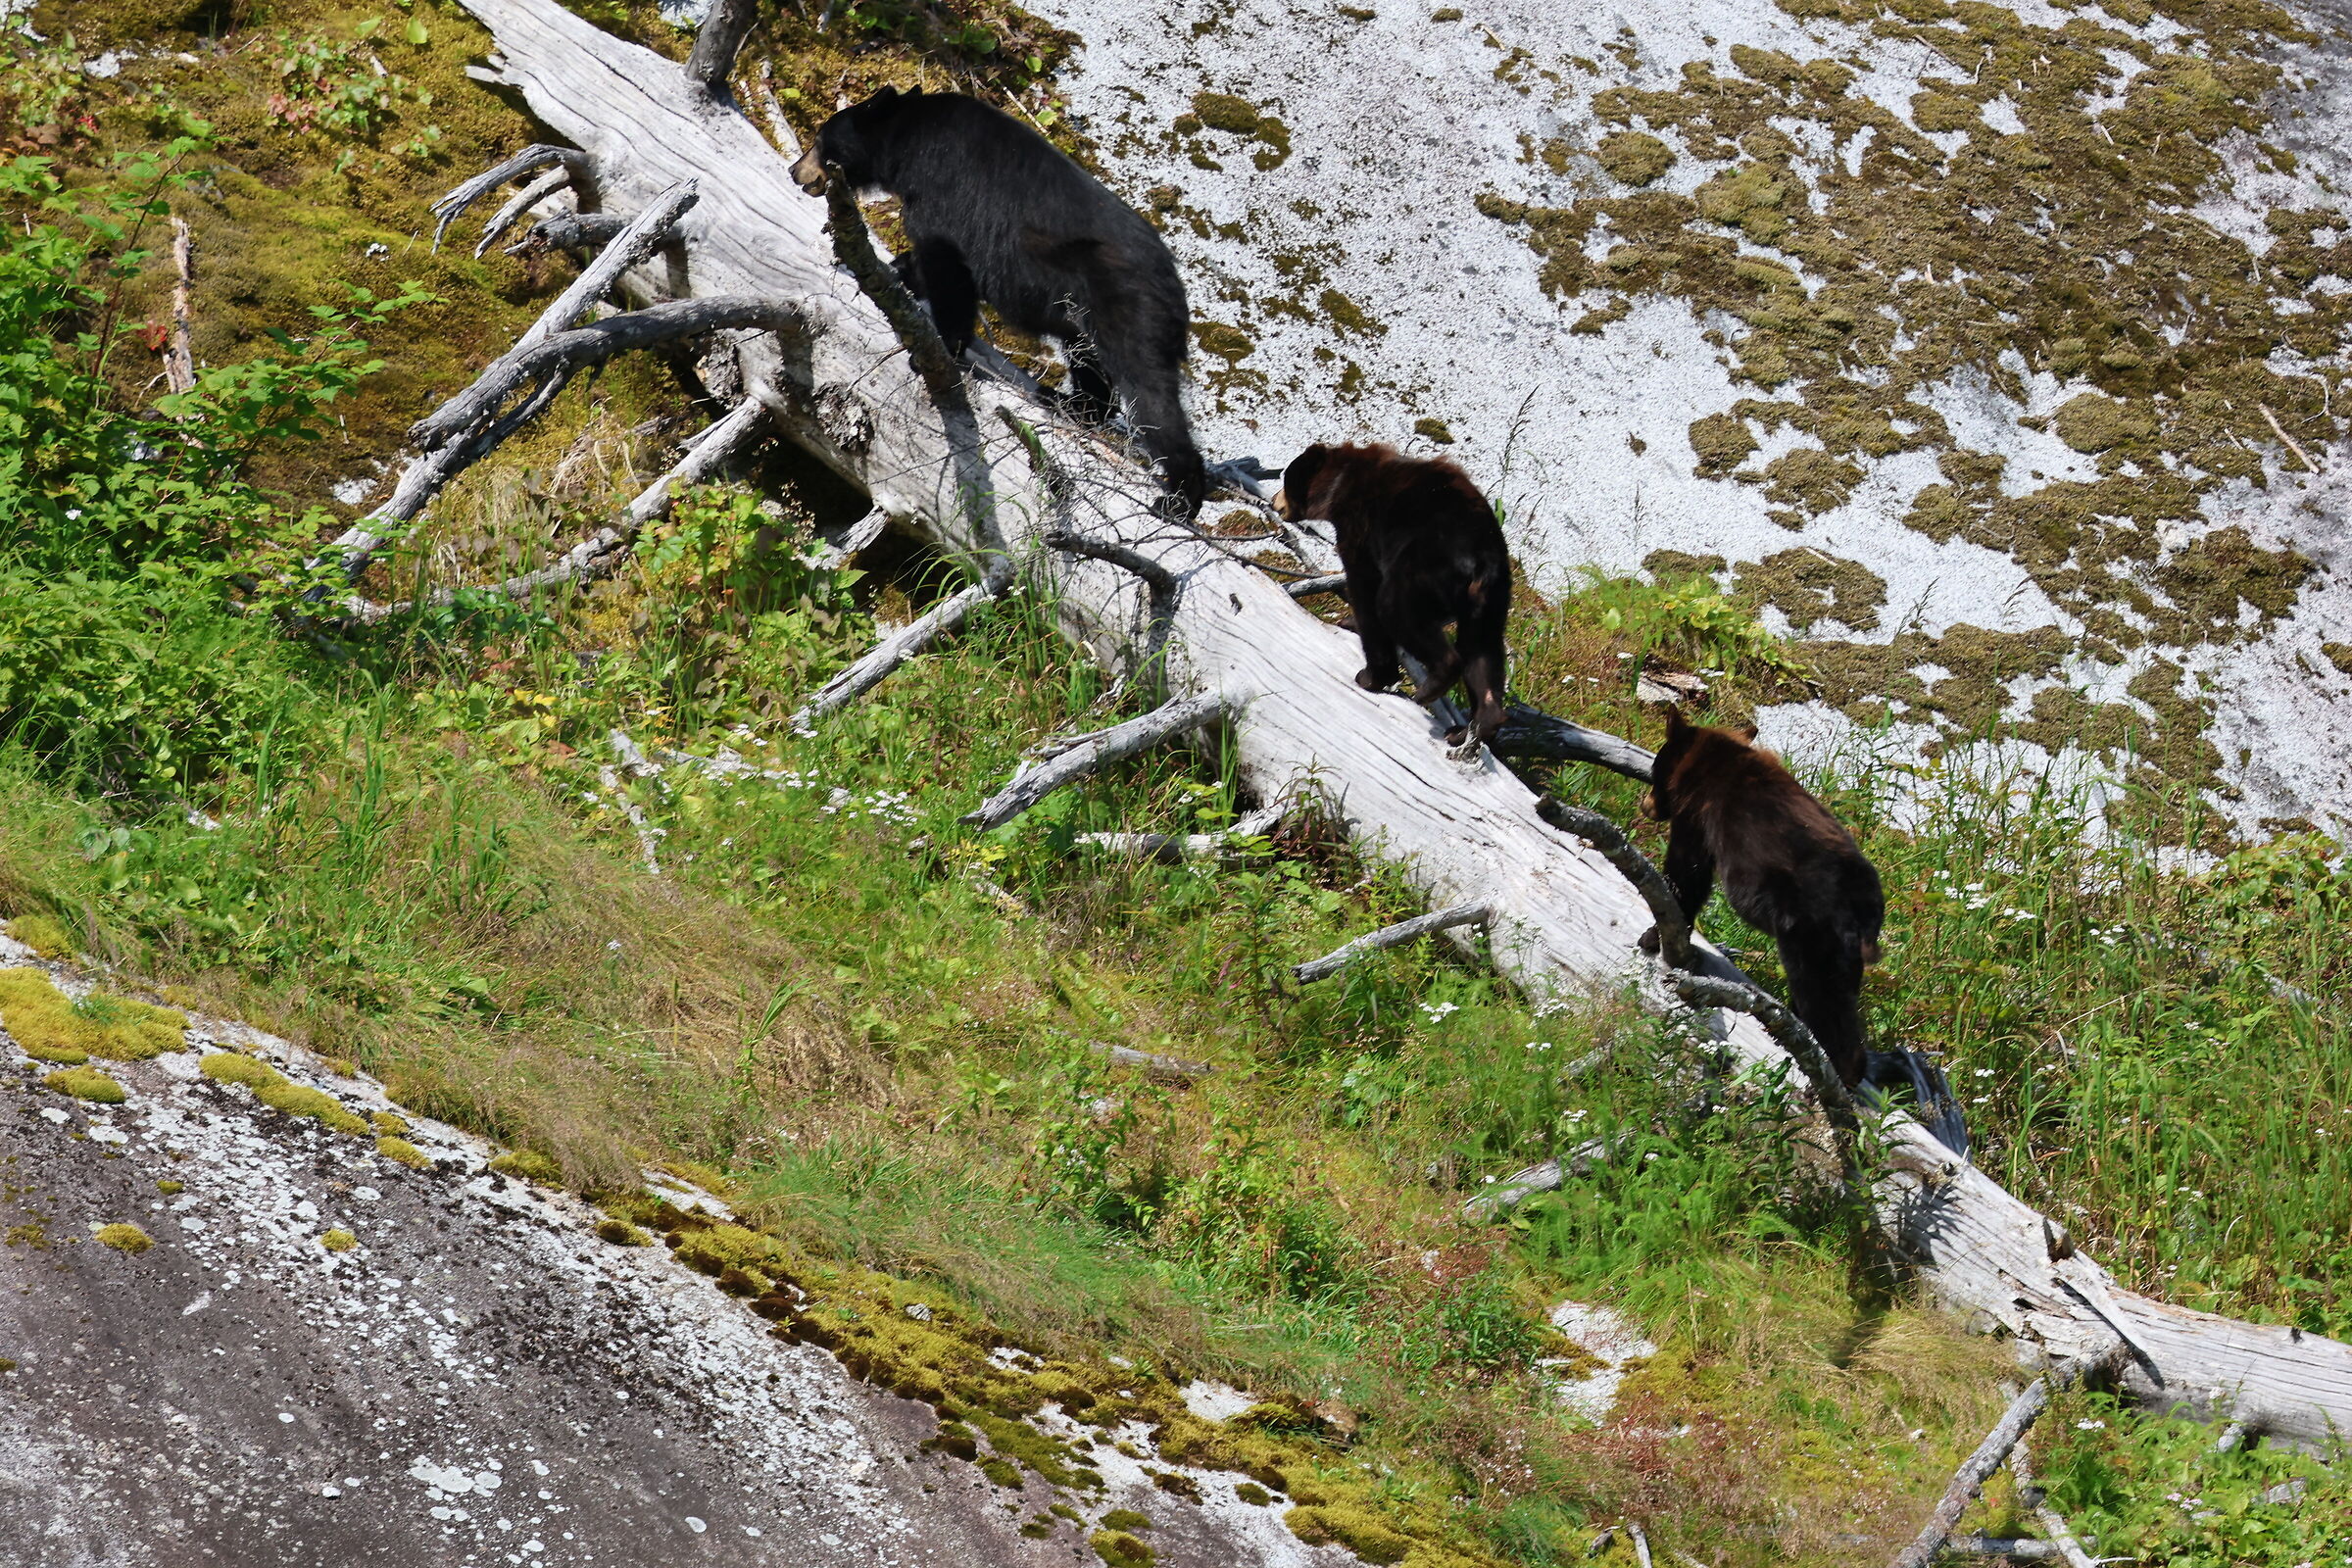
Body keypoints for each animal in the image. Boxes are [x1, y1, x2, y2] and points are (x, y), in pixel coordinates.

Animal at [791, 87, 1206, 520]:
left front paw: (939, 350)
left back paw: (1179, 498)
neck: (908, 140)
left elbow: (946, 265)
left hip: (1125, 307)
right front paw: (898, 268)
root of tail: (1175, 288)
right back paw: (1070, 403)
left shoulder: (940, 190)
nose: (795, 171)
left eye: (818, 140)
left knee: (1151, 394)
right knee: (1086, 356)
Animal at [1273, 442, 1511, 750]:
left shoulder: (1359, 534)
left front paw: (1371, 675)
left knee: (1395, 610)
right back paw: (1469, 728)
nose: (1275, 501)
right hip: (1491, 602)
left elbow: (1364, 592)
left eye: (1284, 480)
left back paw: (1430, 687)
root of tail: (1481, 562)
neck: (1339, 486)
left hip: (1421, 572)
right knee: (1482, 651)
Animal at [1640, 705, 1886, 1087]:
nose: (1645, 805)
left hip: (1814, 939)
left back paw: (1833, 1073)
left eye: (1655, 769)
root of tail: (1864, 909)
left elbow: (1688, 873)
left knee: (1823, 999)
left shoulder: (1697, 815)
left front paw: (1655, 935)